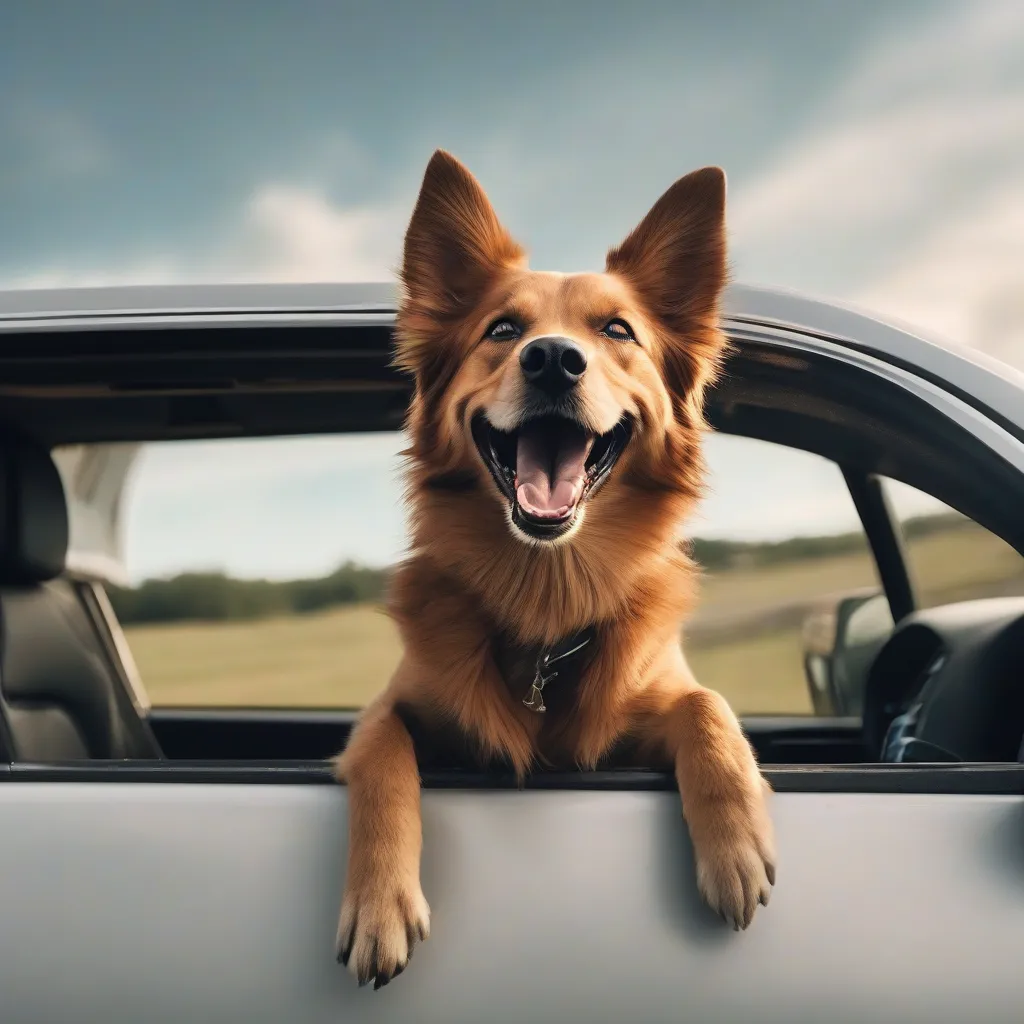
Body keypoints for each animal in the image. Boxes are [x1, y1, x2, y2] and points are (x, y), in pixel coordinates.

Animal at [335, 148, 774, 987]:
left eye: (617, 331)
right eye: (503, 330)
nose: (552, 359)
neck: (547, 595)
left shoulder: (648, 711)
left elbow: (708, 706)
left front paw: (737, 844)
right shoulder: (389, 709)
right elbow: (382, 757)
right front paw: (379, 904)